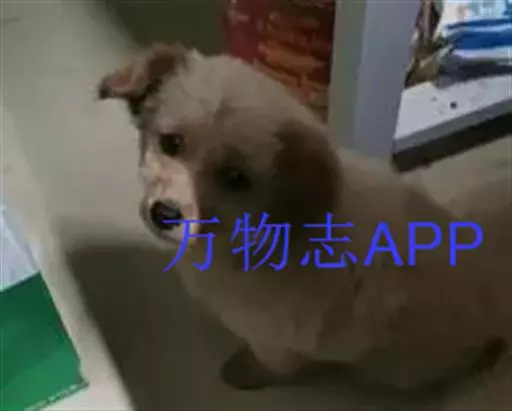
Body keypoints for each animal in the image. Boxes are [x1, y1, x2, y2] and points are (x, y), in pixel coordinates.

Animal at [98, 43, 510, 392]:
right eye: (171, 143)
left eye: (235, 178)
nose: (164, 214)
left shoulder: (275, 338)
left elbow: (270, 362)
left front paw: (242, 373)